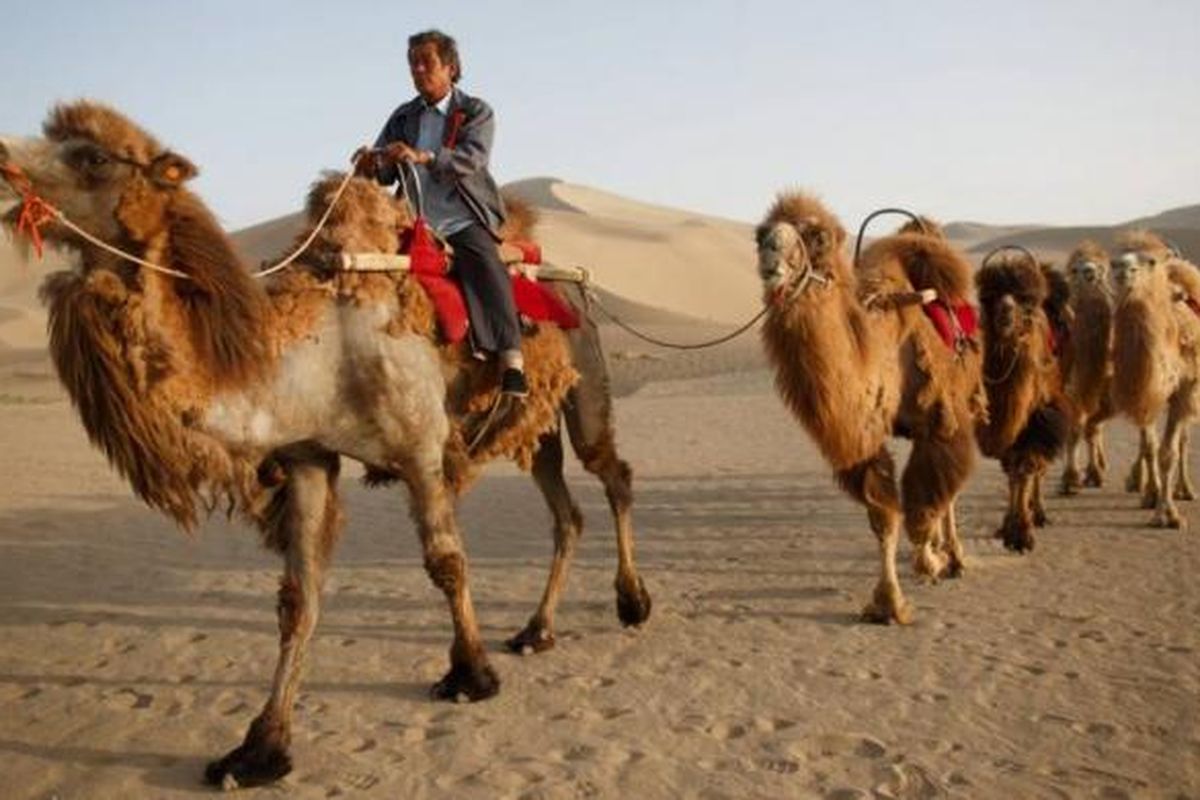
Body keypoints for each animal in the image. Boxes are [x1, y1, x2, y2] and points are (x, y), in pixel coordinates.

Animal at [0, 100, 657, 786]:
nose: (2, 159)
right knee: (566, 510)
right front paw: (260, 748)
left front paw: (470, 674)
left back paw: (632, 602)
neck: (316, 350)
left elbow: (446, 563)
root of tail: (565, 276)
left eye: (93, 157)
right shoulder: (308, 456)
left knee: (612, 472)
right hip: (534, 423)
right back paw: (536, 629)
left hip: (586, 379)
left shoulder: (422, 449)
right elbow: (298, 598)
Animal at [758, 194, 984, 623]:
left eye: (817, 237)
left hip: (961, 405)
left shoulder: (939, 423)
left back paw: (955, 557)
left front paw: (931, 562)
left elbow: (924, 504)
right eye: (760, 233)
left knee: (948, 491)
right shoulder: (862, 438)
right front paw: (888, 601)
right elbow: (885, 518)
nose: (769, 253)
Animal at [974, 248, 1070, 551]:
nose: (1006, 309)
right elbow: (1010, 469)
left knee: (1039, 466)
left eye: (1022, 298)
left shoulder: (1043, 418)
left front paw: (1023, 533)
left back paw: (1039, 514)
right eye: (990, 296)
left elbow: (1026, 468)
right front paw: (1007, 528)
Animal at [1104, 227, 1200, 527]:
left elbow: (1169, 451)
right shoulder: (1145, 389)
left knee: (1183, 440)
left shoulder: (1184, 389)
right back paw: (1142, 485)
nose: (1123, 268)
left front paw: (1168, 514)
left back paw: (1186, 490)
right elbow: (1150, 446)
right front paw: (1153, 496)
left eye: (1151, 261)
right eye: (1114, 260)